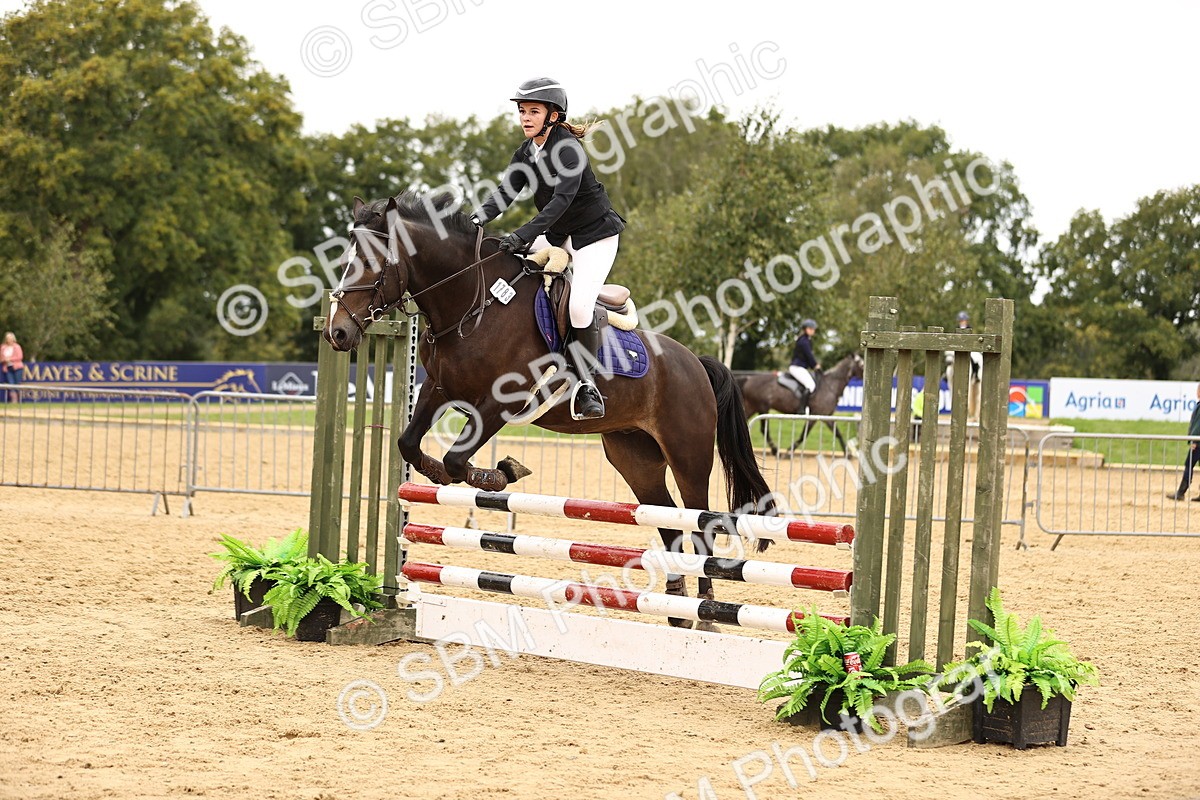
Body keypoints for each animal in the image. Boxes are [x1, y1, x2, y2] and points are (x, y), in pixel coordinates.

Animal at [322, 192, 777, 627]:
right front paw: (450, 474)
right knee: (667, 522)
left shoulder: (504, 400)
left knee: (701, 525)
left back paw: (706, 614)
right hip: (635, 457)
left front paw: (500, 473)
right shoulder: (438, 388)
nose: (336, 333)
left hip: (688, 454)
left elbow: (456, 459)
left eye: (371, 263)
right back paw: (677, 608)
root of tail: (695, 362)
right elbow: (409, 445)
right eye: (345, 262)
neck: (473, 300)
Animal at [736, 353, 864, 457]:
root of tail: (748, 379)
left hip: (752, 407)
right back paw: (776, 451)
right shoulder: (816, 415)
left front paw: (847, 454)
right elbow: (804, 435)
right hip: (762, 408)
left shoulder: (826, 416)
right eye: (862, 365)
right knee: (764, 430)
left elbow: (837, 433)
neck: (830, 386)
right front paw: (789, 452)